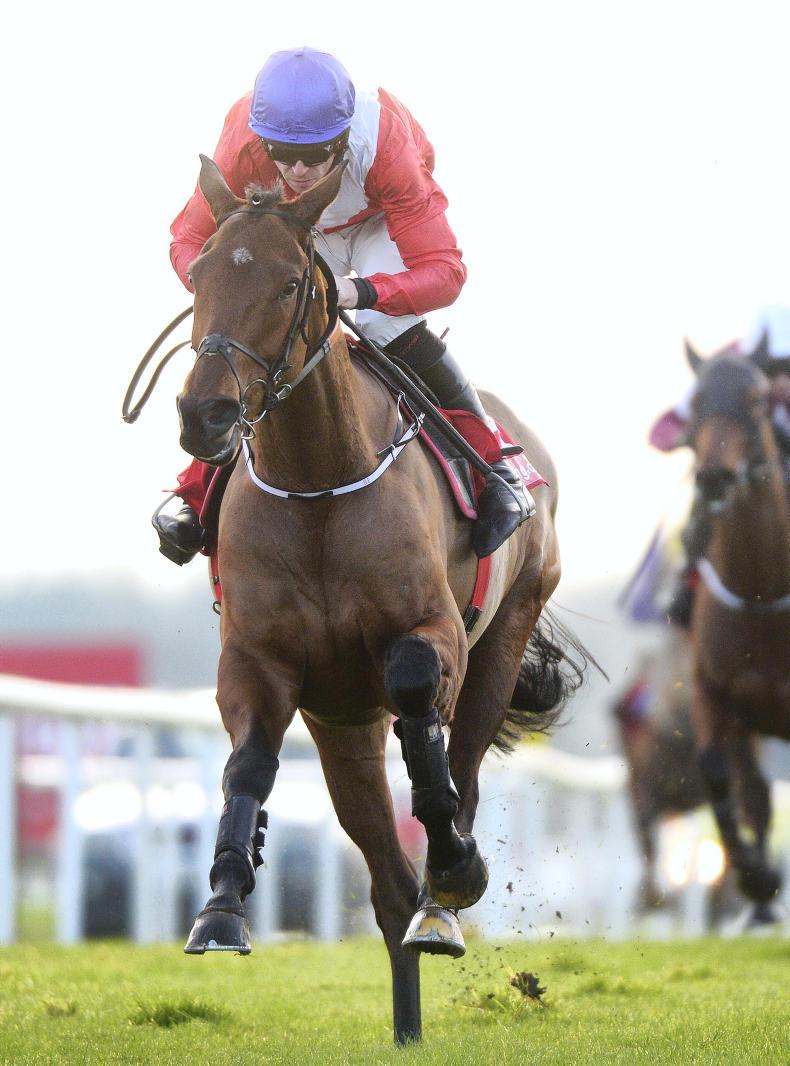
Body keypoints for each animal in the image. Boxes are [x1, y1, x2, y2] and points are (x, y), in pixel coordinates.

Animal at [173, 155, 585, 1044]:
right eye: (200, 273)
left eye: (291, 283)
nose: (205, 413)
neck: (318, 484)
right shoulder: (263, 662)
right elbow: (247, 761)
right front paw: (222, 902)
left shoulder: (434, 633)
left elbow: (418, 699)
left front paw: (457, 871)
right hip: (339, 721)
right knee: (388, 882)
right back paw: (407, 1018)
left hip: (504, 637)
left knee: (460, 774)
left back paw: (446, 896)